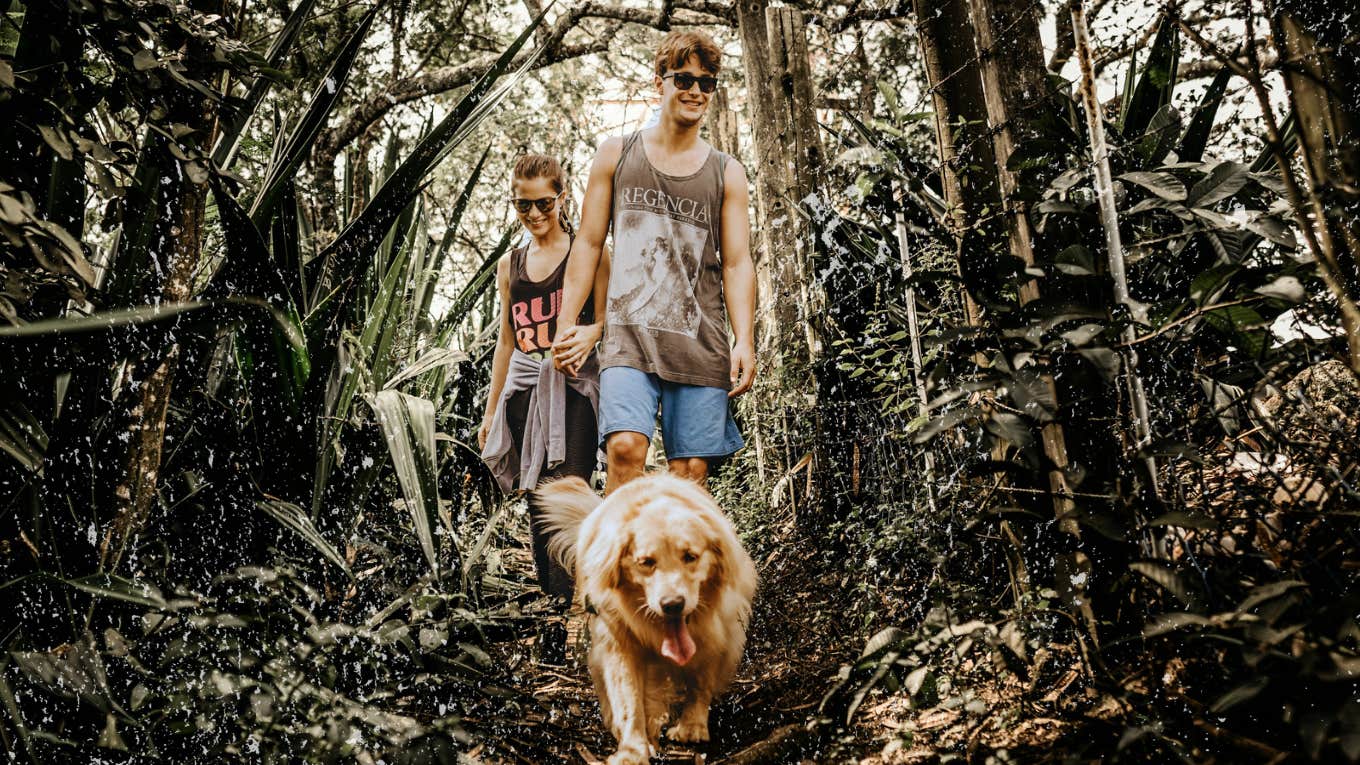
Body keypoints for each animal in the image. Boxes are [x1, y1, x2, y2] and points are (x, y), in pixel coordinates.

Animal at [530, 473, 761, 756]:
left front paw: (691, 726)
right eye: (646, 562)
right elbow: (628, 699)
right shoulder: (620, 642)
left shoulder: (718, 632)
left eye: (690, 556)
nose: (672, 604)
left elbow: (701, 681)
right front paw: (633, 748)